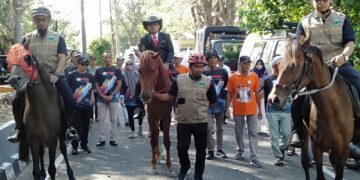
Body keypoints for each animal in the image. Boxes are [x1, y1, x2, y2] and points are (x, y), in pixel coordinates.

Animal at [6, 44, 74, 180]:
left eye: (27, 58)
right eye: (7, 62)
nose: (14, 80)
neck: (41, 108)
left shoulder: (52, 140)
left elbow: (52, 169)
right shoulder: (33, 140)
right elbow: (35, 172)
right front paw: (40, 173)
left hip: (60, 134)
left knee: (63, 149)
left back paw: (70, 174)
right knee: (42, 153)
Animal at [268, 37, 354, 180]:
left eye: (295, 65)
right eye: (279, 66)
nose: (273, 99)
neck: (332, 112)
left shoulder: (343, 150)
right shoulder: (317, 148)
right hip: (304, 135)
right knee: (305, 162)